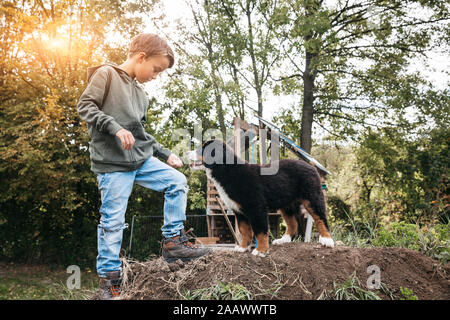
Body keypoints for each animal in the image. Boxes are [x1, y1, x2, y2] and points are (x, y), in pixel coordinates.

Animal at [187, 140, 334, 258]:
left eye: (202, 149)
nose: (187, 152)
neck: (227, 170)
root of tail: (310, 166)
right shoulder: (239, 211)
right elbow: (245, 231)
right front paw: (242, 247)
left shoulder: (256, 207)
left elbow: (260, 231)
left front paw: (260, 250)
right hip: (287, 204)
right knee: (293, 223)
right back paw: (283, 240)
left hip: (312, 197)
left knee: (321, 218)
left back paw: (327, 240)